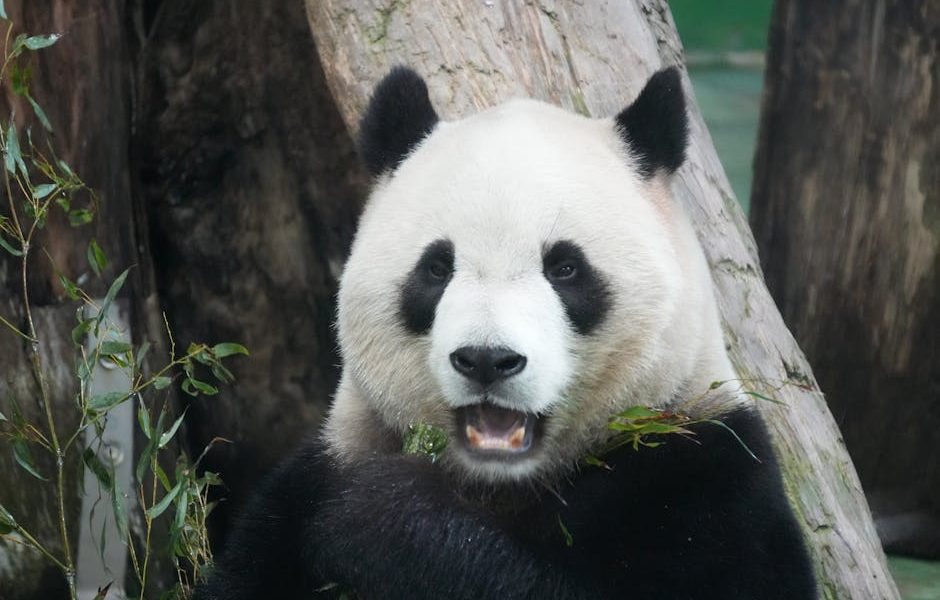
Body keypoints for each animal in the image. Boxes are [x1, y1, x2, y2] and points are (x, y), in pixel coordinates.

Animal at [196, 66, 816, 599]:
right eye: (436, 268)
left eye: (564, 268)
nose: (486, 360)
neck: (496, 482)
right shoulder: (311, 481)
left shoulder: (703, 477)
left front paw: (379, 512)